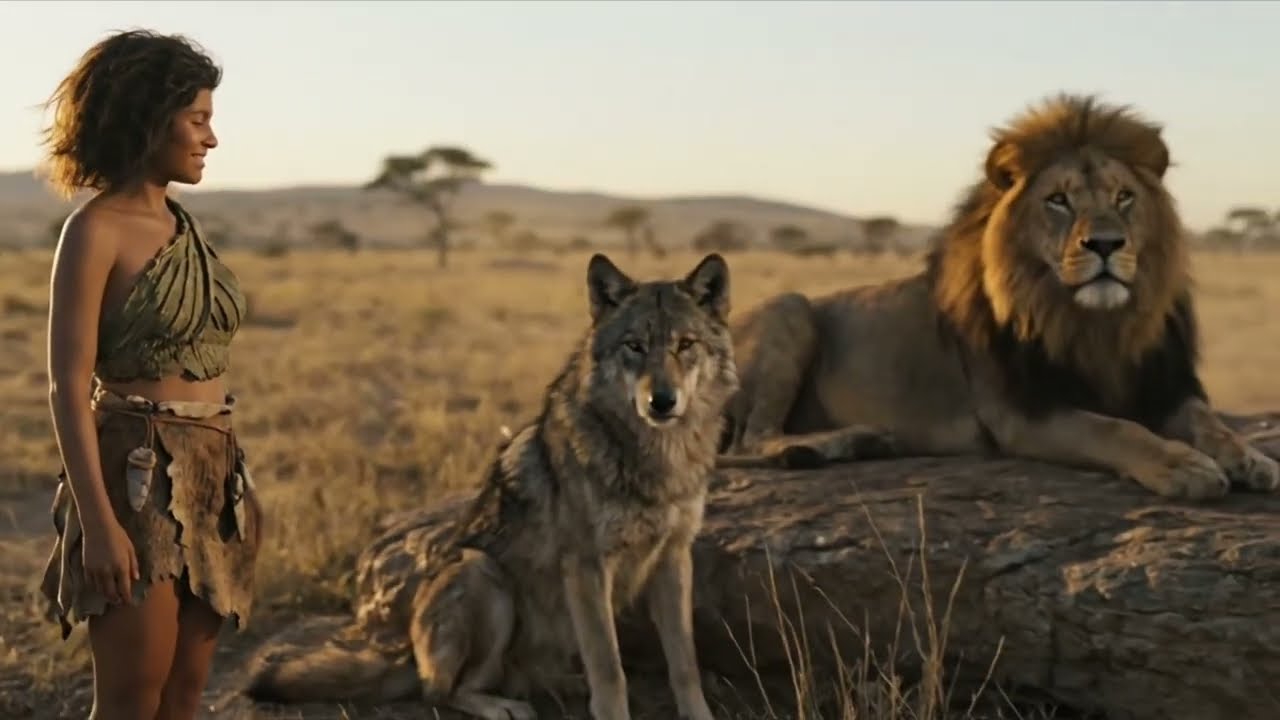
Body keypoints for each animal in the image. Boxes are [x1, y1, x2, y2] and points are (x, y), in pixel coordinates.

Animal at [717, 92, 1280, 501]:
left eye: (1124, 197)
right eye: (1058, 200)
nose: (1105, 244)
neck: (1097, 324)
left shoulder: (1161, 385)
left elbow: (1208, 421)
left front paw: (1252, 459)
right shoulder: (1022, 413)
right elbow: (1115, 429)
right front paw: (1181, 464)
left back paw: (863, 440)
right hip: (791, 308)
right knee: (749, 440)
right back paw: (828, 444)